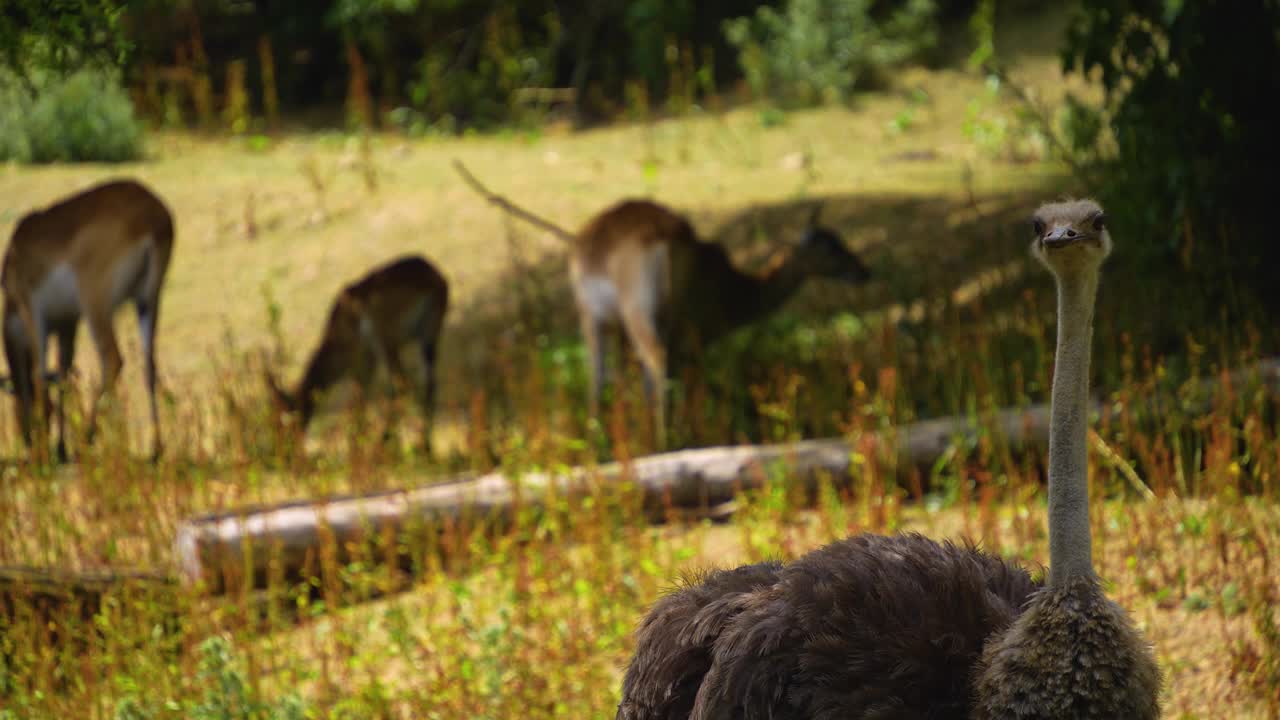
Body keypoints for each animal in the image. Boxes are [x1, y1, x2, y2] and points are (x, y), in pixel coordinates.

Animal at [1, 179, 175, 458]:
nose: (28, 441)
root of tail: (154, 216)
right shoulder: (67, 323)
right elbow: (64, 373)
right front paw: (61, 447)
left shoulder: (34, 314)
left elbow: (40, 373)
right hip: (148, 300)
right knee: (150, 365)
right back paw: (155, 450)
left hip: (96, 304)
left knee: (113, 359)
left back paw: (91, 436)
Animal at [262, 254, 453, 450]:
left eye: (279, 421)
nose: (281, 449)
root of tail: (431, 278)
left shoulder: (361, 360)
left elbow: (359, 401)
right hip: (428, 337)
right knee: (429, 384)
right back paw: (425, 447)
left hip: (386, 341)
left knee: (403, 385)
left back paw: (386, 443)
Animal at [453, 160, 870, 443]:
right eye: (829, 247)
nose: (863, 270)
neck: (735, 290)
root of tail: (665, 239)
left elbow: (606, 377)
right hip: (648, 319)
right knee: (654, 367)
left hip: (636, 316)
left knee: (651, 364)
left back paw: (661, 439)